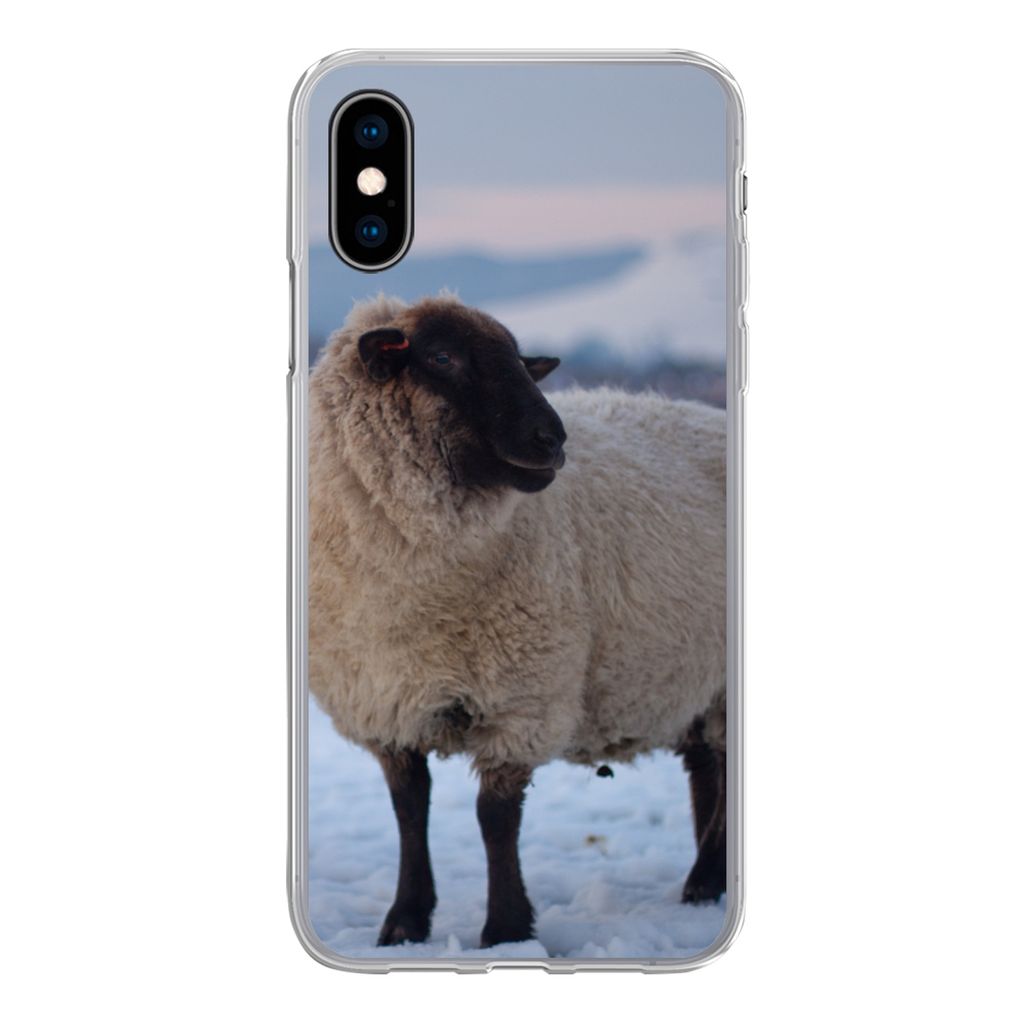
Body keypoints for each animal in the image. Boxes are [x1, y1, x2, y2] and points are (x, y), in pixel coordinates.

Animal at [308, 293, 727, 948]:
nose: (552, 438)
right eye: (442, 357)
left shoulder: (520, 696)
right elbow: (409, 807)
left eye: (520, 361)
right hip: (694, 676)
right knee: (708, 767)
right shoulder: (386, 699)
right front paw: (405, 922)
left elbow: (495, 819)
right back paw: (705, 887)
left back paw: (705, 880)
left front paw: (505, 927)